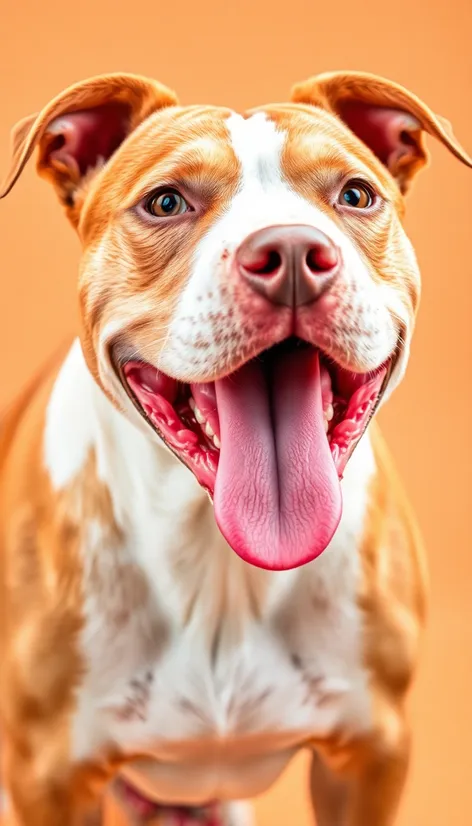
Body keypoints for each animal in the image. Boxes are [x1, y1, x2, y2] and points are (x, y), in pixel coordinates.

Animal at [0, 72, 468, 824]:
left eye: (355, 194)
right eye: (166, 201)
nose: (293, 254)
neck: (220, 564)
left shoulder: (371, 756)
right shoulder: (49, 777)